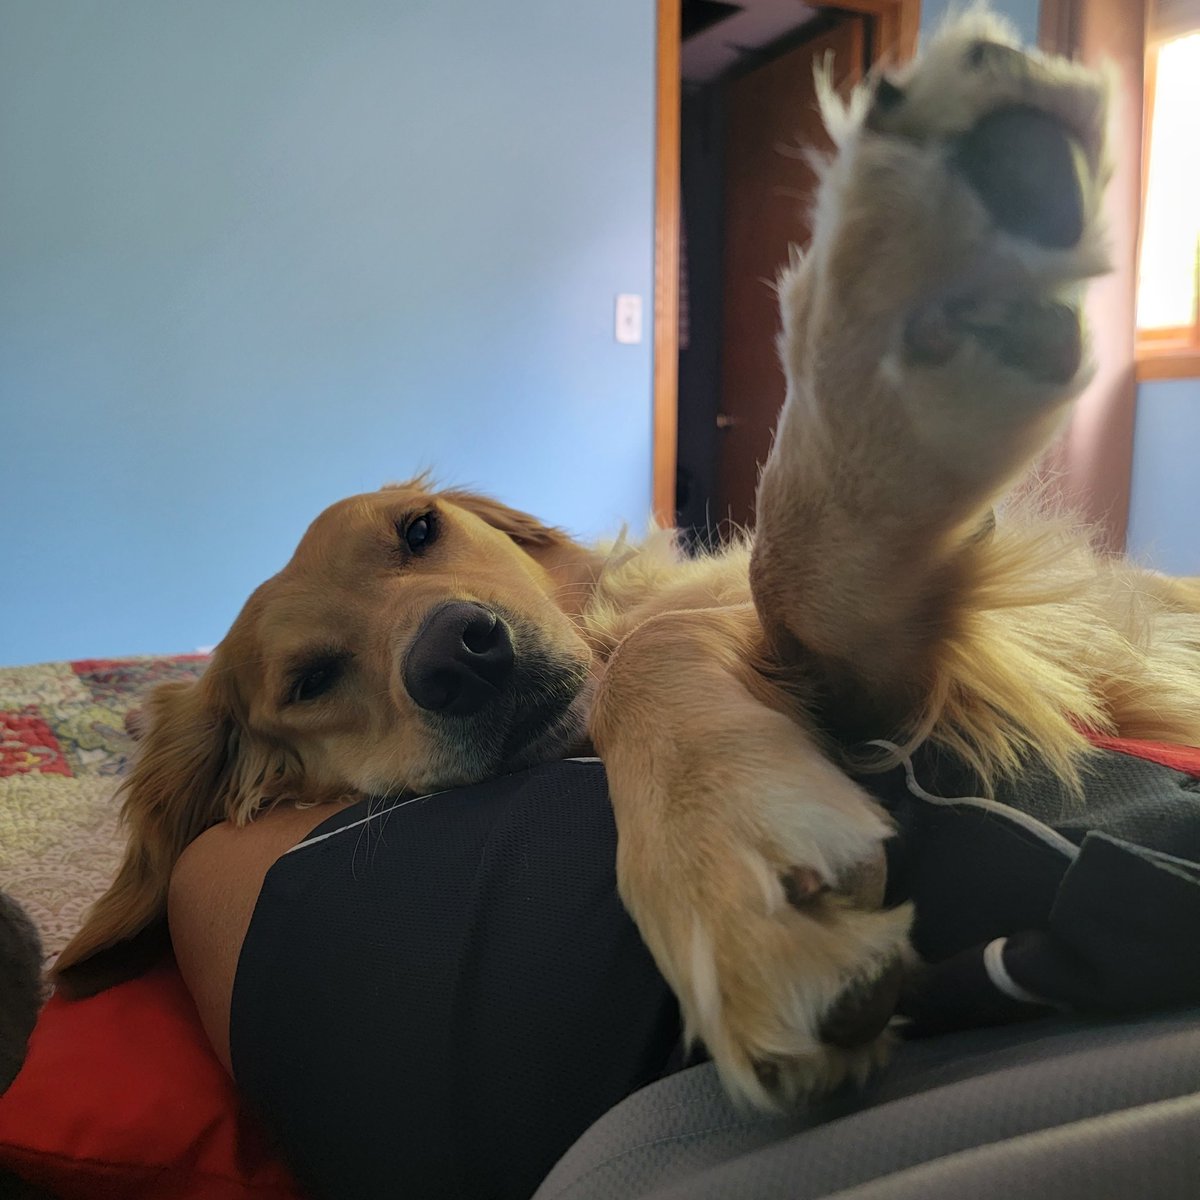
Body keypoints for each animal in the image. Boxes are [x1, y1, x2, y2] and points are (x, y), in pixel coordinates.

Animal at [51, 11, 1200, 1113]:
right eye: (309, 681)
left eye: (418, 530)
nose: (461, 653)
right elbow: (722, 623)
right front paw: (726, 870)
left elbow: (737, 593)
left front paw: (901, 314)